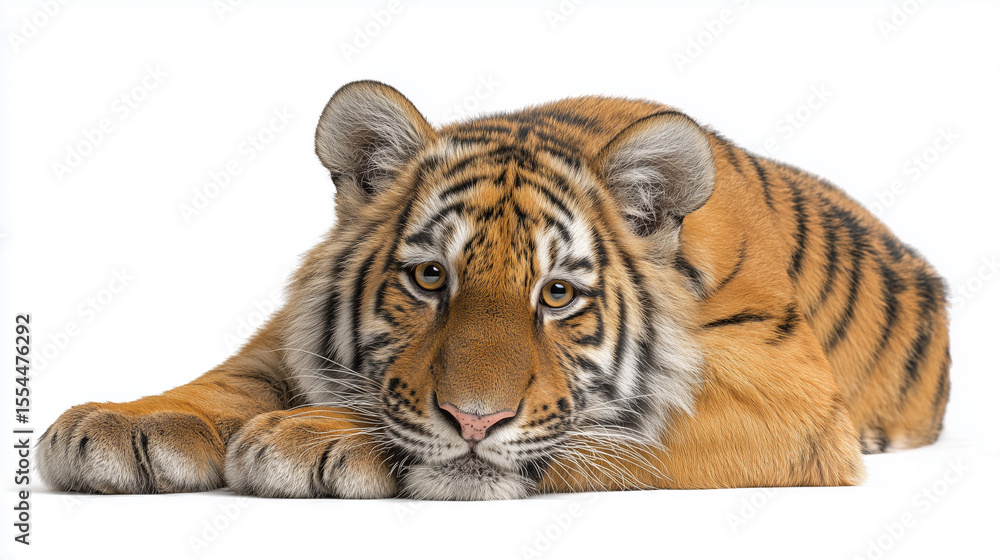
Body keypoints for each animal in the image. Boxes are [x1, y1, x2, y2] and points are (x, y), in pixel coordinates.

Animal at [37, 81, 950, 500]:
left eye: (558, 296)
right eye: (429, 278)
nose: (474, 421)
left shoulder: (787, 394)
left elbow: (612, 432)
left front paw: (313, 436)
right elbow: (237, 374)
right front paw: (124, 424)